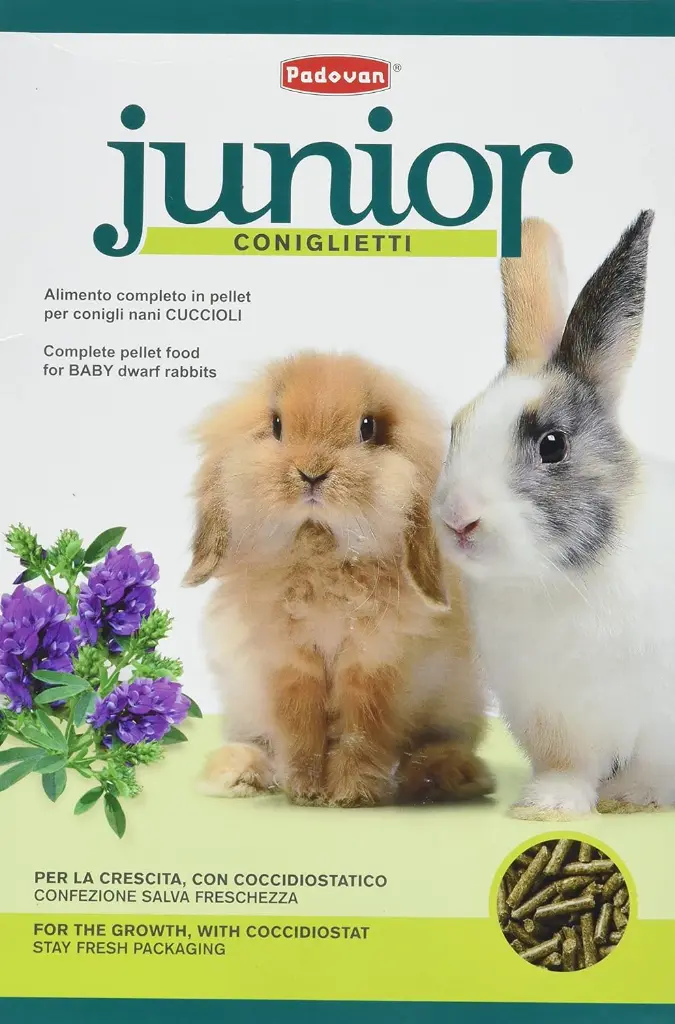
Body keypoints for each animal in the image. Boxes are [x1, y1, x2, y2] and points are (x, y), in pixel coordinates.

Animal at [184, 350, 493, 808]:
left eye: (368, 428)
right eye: (277, 426)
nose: (312, 473)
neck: (322, 553)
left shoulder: (373, 662)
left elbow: (361, 730)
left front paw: (351, 794)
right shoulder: (289, 663)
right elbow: (300, 729)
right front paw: (307, 791)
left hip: (455, 704)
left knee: (436, 744)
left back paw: (450, 776)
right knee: (255, 743)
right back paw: (235, 775)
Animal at [432, 210, 675, 820]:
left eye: (553, 444)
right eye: (457, 428)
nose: (459, 519)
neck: (561, 578)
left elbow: (655, 766)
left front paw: (635, 797)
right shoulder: (555, 715)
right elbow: (569, 767)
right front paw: (546, 807)